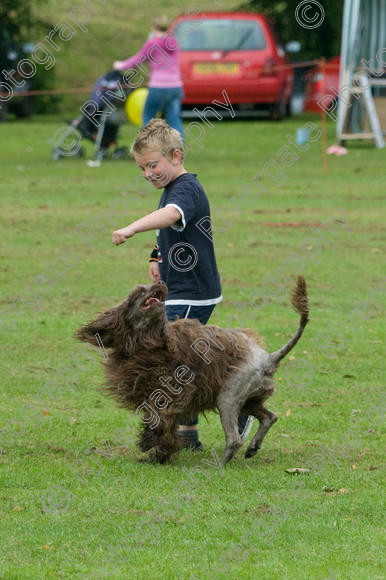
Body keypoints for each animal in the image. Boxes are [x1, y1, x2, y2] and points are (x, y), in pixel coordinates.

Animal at [77, 278, 310, 466]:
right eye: (140, 291)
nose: (160, 281)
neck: (150, 342)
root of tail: (269, 358)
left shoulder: (172, 393)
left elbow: (160, 418)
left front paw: (153, 446)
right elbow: (161, 422)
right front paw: (157, 449)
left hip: (228, 398)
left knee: (234, 439)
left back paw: (218, 464)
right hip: (249, 399)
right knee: (270, 417)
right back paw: (253, 447)